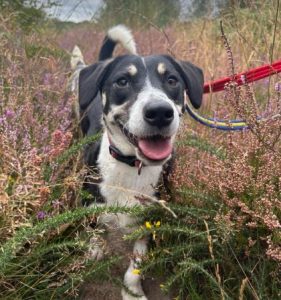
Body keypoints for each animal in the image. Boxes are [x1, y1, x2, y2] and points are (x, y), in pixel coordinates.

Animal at [69, 24, 202, 298]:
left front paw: (132, 290)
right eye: (122, 81)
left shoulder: (152, 219)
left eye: (172, 80)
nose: (160, 112)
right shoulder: (89, 204)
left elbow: (137, 262)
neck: (132, 166)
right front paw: (95, 248)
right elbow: (94, 228)